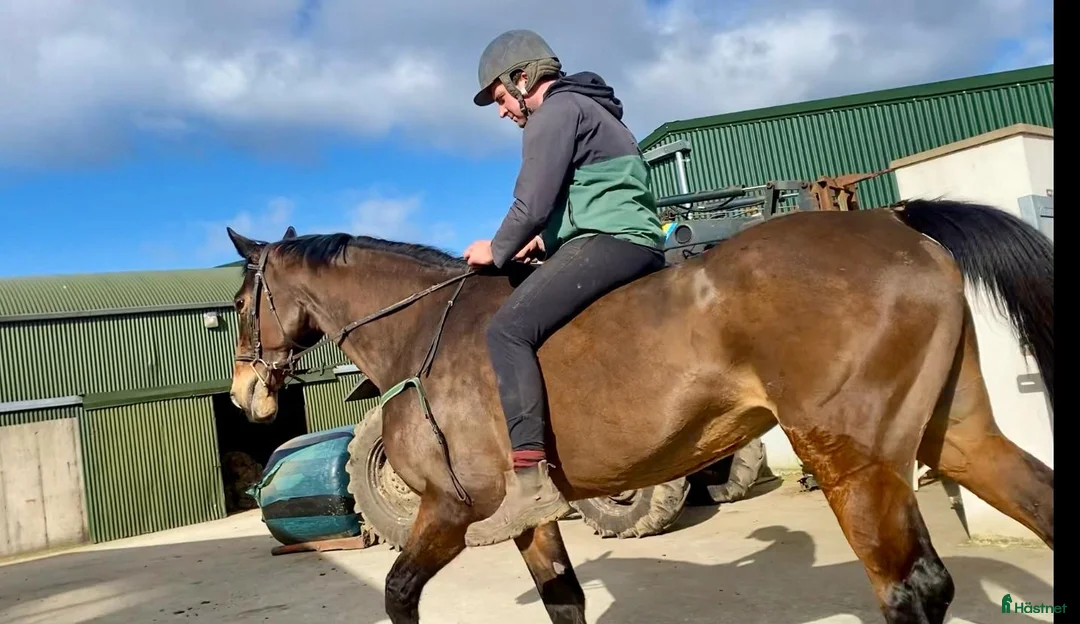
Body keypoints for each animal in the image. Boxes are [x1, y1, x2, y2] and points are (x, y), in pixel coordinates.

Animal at [225, 197, 1053, 624]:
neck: (424, 330)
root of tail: (895, 216)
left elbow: (398, 594)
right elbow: (563, 601)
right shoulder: (527, 518)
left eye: (236, 303)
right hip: (955, 435)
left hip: (853, 461)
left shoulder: (449, 509)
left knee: (908, 591)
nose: (243, 395)